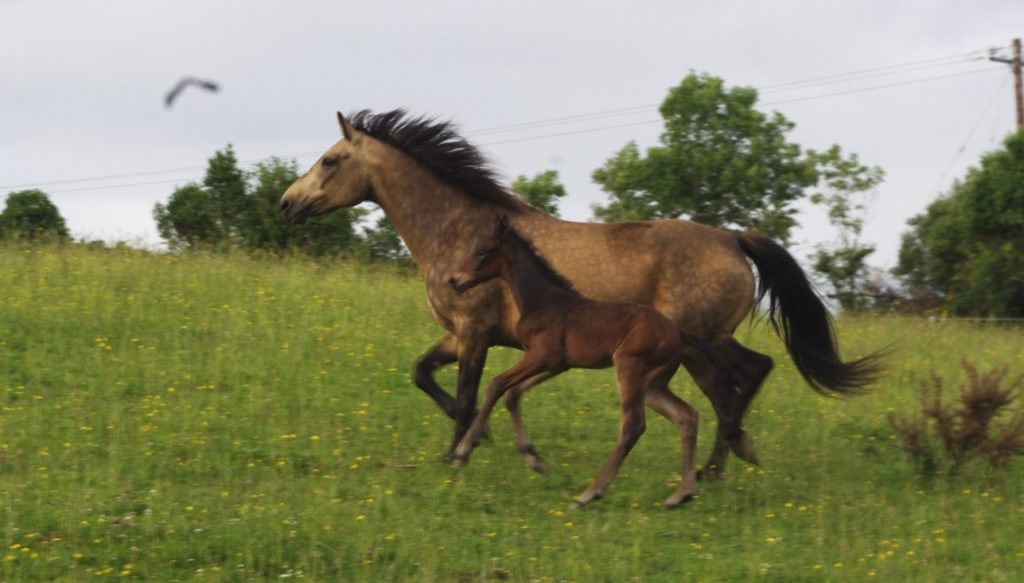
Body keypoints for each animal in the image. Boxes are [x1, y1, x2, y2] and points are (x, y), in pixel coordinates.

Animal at [278, 110, 880, 477]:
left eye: (330, 159)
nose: (286, 203)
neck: (459, 230)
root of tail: (734, 239)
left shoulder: (474, 332)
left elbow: (468, 396)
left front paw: (460, 452)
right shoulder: (459, 335)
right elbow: (422, 374)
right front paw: (486, 442)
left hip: (701, 339)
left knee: (743, 378)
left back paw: (721, 460)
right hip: (699, 345)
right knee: (736, 383)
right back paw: (721, 464)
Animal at [450, 216, 704, 506]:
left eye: (482, 251)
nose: (454, 280)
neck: (542, 302)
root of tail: (677, 333)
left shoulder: (541, 356)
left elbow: (496, 384)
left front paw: (463, 452)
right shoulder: (556, 363)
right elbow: (513, 393)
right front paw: (533, 458)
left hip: (630, 369)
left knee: (633, 426)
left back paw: (589, 494)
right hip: (653, 385)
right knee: (687, 416)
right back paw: (681, 494)